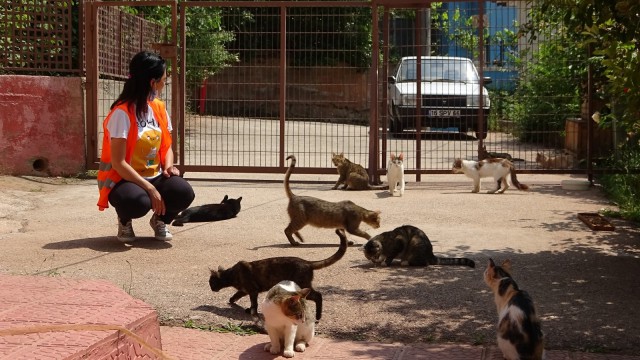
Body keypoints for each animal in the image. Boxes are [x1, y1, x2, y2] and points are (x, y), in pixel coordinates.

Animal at [209, 228, 350, 320]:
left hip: (302, 285)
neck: (231, 275)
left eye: (211, 282)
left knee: (319, 295)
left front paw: (251, 311)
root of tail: (307, 262)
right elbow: (235, 296)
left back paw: (318, 316)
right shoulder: (245, 290)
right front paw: (232, 302)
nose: (210, 288)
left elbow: (254, 303)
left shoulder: (253, 290)